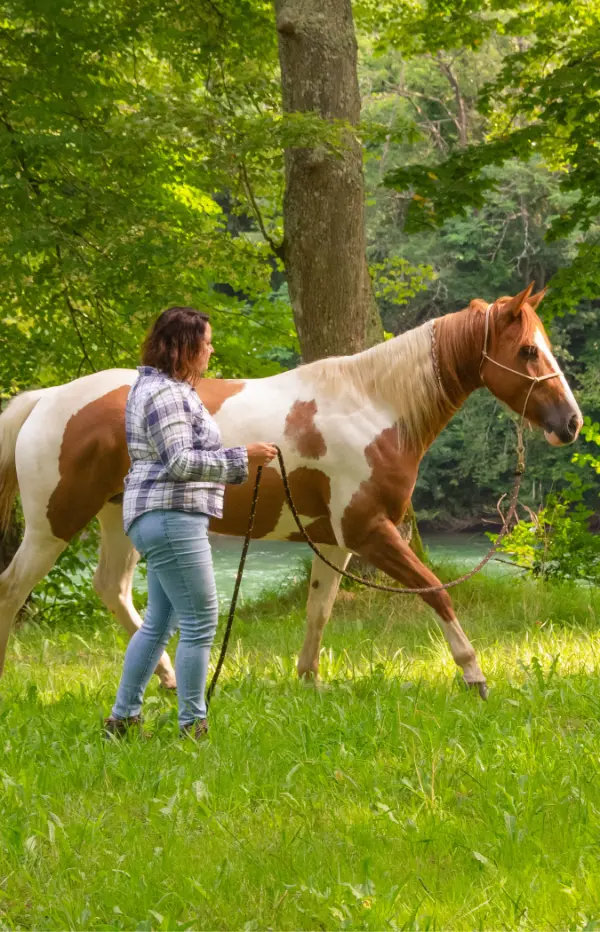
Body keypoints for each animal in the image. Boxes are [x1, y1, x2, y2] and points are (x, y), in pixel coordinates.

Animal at [0, 288, 580, 696]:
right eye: (528, 351)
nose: (571, 423)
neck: (375, 406)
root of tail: (48, 398)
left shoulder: (334, 541)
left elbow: (319, 609)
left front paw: (309, 679)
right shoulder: (370, 532)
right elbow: (435, 590)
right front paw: (473, 674)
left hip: (118, 520)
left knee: (112, 590)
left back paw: (166, 679)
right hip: (52, 525)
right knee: (13, 587)